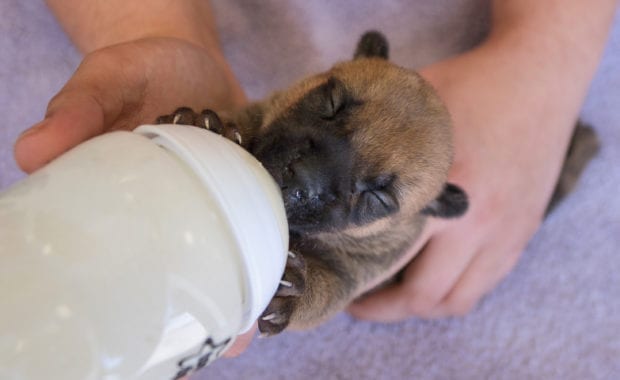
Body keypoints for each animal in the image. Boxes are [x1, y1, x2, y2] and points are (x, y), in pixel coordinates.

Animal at [157, 31, 600, 336]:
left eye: (378, 196)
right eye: (332, 103)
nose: (298, 178)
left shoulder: (353, 274)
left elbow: (323, 291)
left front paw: (292, 289)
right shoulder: (264, 111)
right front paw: (203, 125)